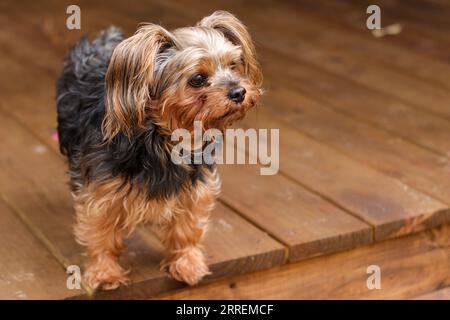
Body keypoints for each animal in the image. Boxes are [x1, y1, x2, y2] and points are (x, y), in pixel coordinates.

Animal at [55, 11, 262, 290]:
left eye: (234, 65)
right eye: (198, 79)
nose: (239, 91)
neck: (163, 139)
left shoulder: (195, 185)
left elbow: (187, 227)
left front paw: (187, 264)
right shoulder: (100, 190)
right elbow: (101, 233)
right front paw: (104, 273)